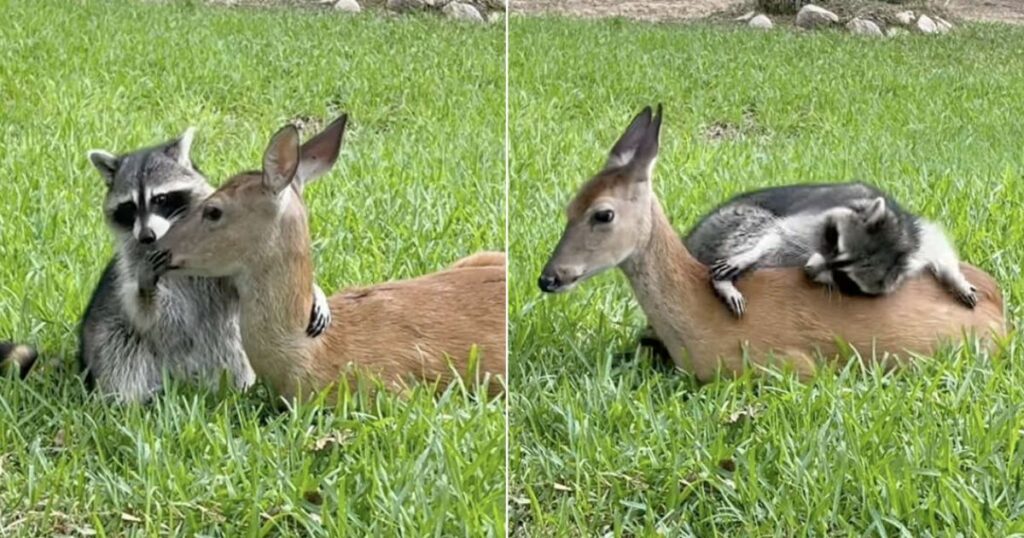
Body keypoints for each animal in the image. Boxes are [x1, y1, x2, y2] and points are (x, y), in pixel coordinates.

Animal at [684, 181, 978, 315]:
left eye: (844, 278)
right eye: (834, 244)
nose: (809, 270)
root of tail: (691, 239)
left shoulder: (916, 240)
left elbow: (937, 245)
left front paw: (955, 278)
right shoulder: (817, 217)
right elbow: (779, 233)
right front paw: (748, 255)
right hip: (725, 222)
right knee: (758, 225)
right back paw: (725, 280)